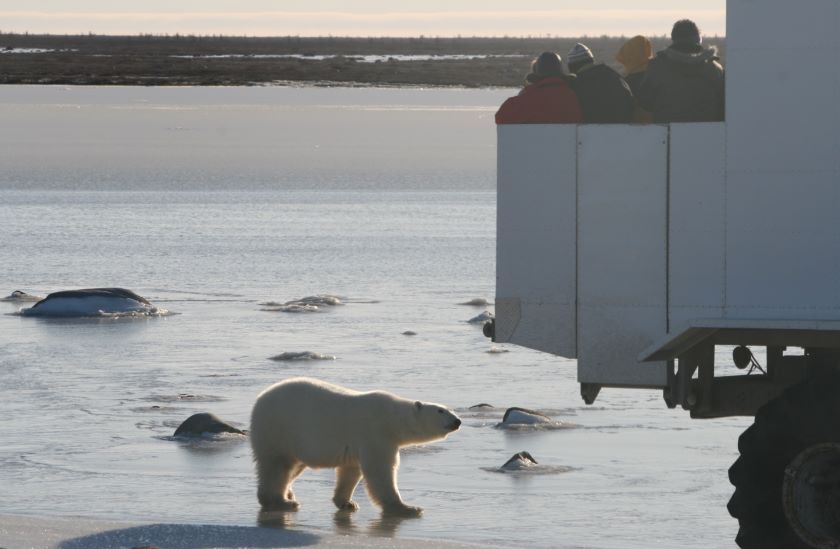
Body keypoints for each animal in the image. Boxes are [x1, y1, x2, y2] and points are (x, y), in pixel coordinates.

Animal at [249, 374, 460, 516]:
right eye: (441, 411)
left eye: (449, 409)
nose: (457, 421)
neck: (392, 418)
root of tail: (260, 398)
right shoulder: (376, 433)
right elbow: (380, 471)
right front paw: (408, 508)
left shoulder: (359, 444)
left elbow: (350, 471)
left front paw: (347, 503)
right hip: (278, 429)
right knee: (277, 466)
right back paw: (281, 502)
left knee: (293, 466)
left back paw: (289, 495)